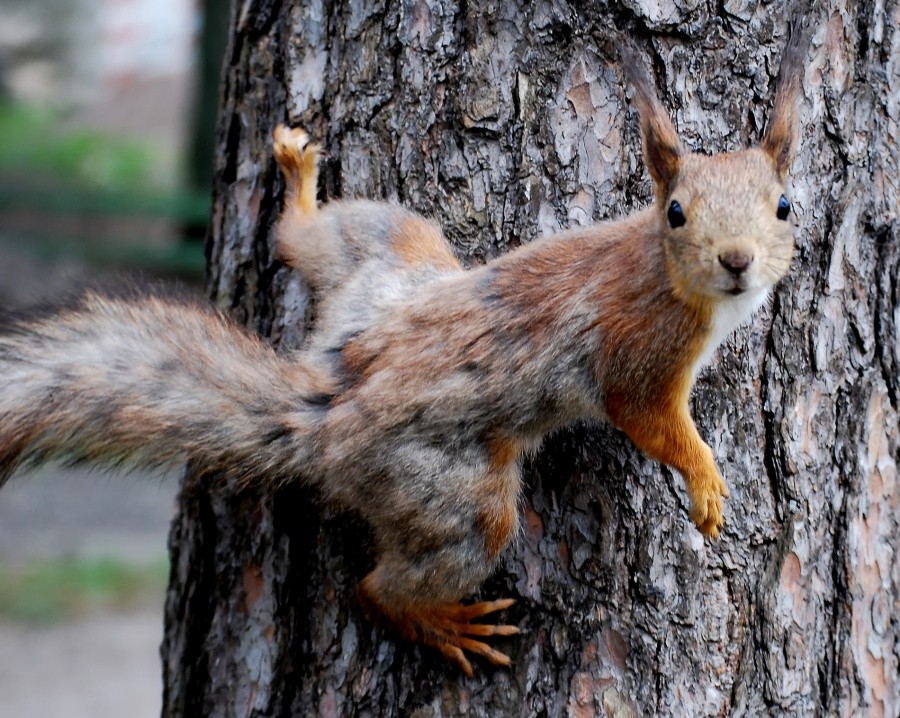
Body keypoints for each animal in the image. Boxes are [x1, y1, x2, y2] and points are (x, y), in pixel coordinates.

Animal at [0, 25, 808, 676]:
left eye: (783, 206)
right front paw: (706, 482)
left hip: (388, 253)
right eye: (676, 213)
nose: (737, 260)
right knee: (384, 583)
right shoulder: (638, 354)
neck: (665, 274)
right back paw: (439, 621)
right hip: (449, 493)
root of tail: (331, 412)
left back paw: (296, 180)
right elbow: (650, 419)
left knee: (300, 240)